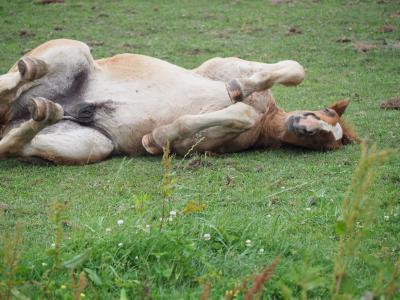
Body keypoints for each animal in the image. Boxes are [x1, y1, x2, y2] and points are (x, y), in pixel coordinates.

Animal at [0, 39, 358, 165]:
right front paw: (237, 89)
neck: (267, 117)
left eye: (327, 142)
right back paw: (30, 70)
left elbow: (237, 113)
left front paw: (154, 138)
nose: (305, 126)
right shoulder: (218, 66)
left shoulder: (201, 145)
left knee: (11, 145)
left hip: (92, 145)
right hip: (73, 51)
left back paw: (45, 112)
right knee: (12, 82)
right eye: (323, 113)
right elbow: (292, 69)